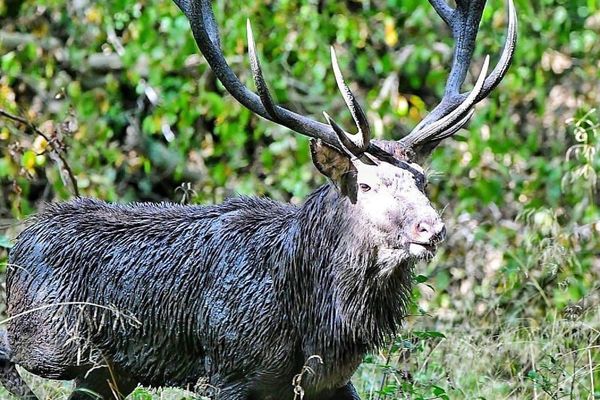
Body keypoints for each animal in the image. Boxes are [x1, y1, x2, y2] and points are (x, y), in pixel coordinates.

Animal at [0, 0, 516, 398]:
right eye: (366, 185)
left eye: (422, 180)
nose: (431, 227)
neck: (314, 319)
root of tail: (19, 246)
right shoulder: (228, 373)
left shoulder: (330, 382)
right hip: (50, 335)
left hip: (107, 371)